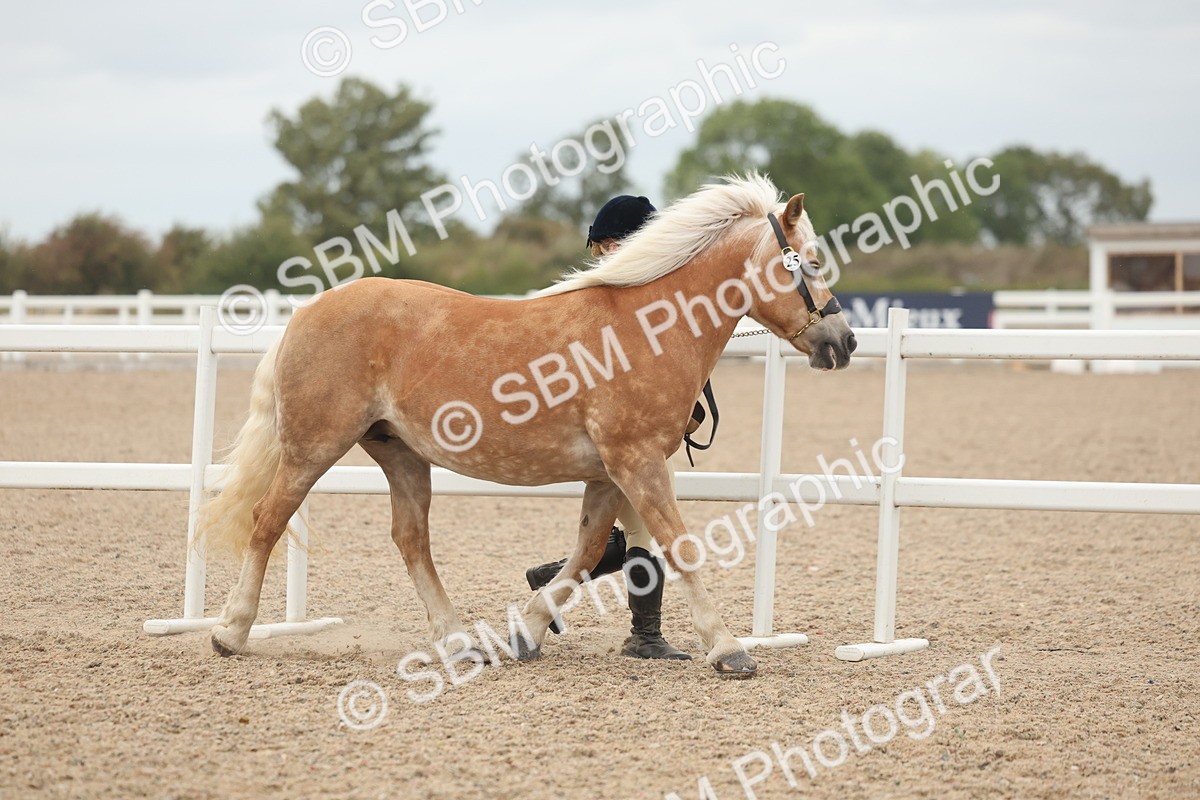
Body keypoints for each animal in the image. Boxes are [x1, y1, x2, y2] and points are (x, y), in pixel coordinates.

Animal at [196, 173, 856, 677]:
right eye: (811, 261)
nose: (843, 342)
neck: (647, 325)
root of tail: (306, 311)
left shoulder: (611, 473)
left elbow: (590, 551)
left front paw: (529, 632)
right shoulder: (637, 461)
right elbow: (679, 546)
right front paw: (729, 649)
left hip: (401, 454)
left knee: (411, 541)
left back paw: (459, 642)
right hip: (312, 447)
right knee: (268, 521)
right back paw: (230, 632)